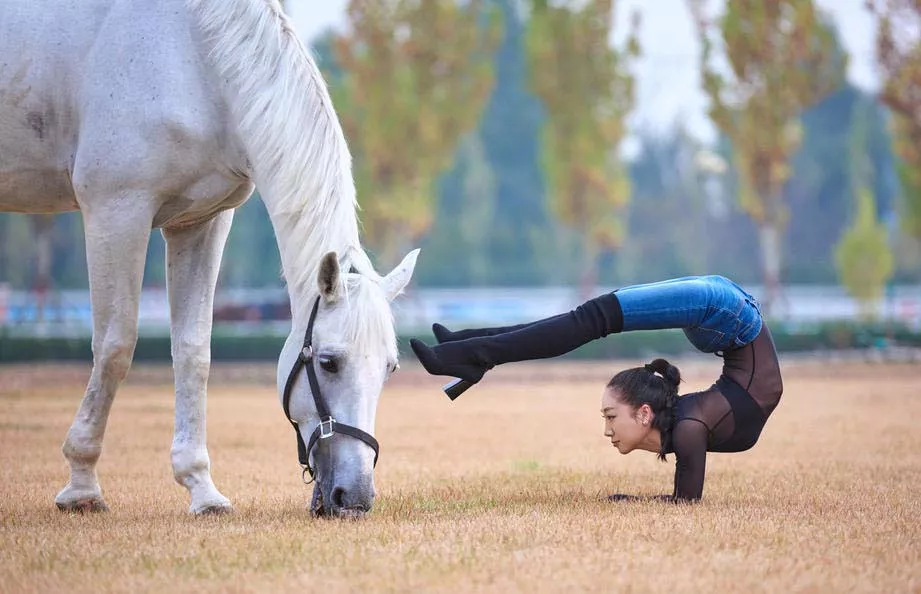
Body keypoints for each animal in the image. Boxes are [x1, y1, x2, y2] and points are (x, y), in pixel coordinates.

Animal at [0, 0, 420, 516]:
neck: (195, 58)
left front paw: (200, 487)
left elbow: (193, 351)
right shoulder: (115, 210)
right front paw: (81, 486)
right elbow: (115, 345)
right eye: (328, 362)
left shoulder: (201, 221)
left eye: (390, 368)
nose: (354, 496)